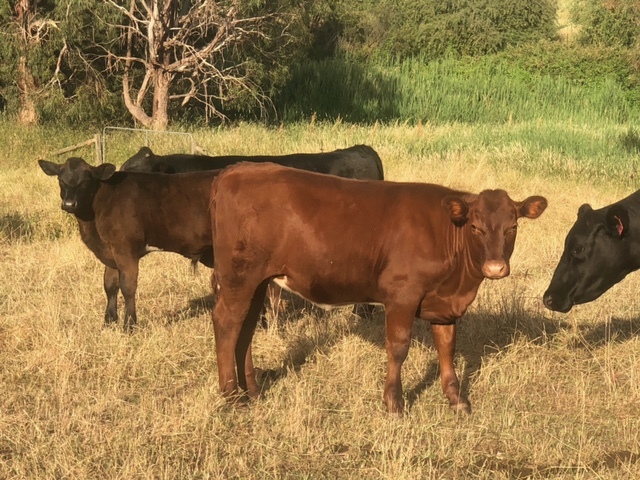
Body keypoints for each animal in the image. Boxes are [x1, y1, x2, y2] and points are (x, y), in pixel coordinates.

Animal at [38, 157, 219, 330]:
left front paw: (129, 325)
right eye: (60, 179)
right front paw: (109, 321)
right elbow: (109, 285)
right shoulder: (111, 252)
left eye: (86, 180)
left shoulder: (125, 251)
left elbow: (128, 287)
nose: (69, 204)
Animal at [209, 163, 547, 414]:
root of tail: (239, 169)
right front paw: (394, 403)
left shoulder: (444, 304)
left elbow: (447, 348)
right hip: (239, 277)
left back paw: (252, 391)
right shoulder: (402, 295)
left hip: (256, 282)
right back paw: (231, 397)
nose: (495, 268)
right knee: (227, 322)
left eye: (513, 226)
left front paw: (457, 400)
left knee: (245, 329)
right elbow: (398, 347)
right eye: (475, 227)